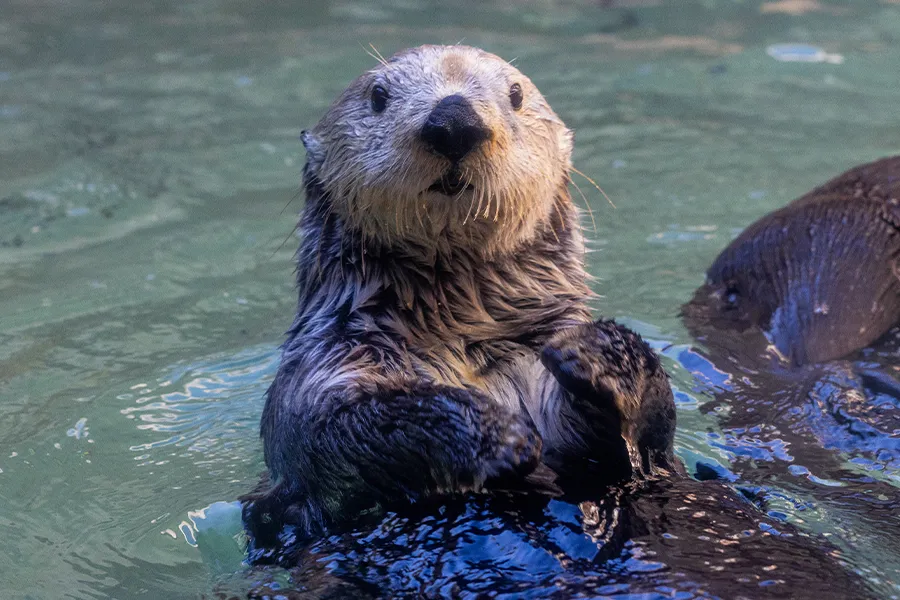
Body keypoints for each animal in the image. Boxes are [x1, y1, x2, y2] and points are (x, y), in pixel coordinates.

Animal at [240, 44, 678, 556]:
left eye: (515, 94)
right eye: (378, 95)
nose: (453, 121)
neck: (461, 335)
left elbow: (638, 437)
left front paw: (596, 353)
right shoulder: (320, 372)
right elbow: (345, 430)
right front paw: (498, 436)